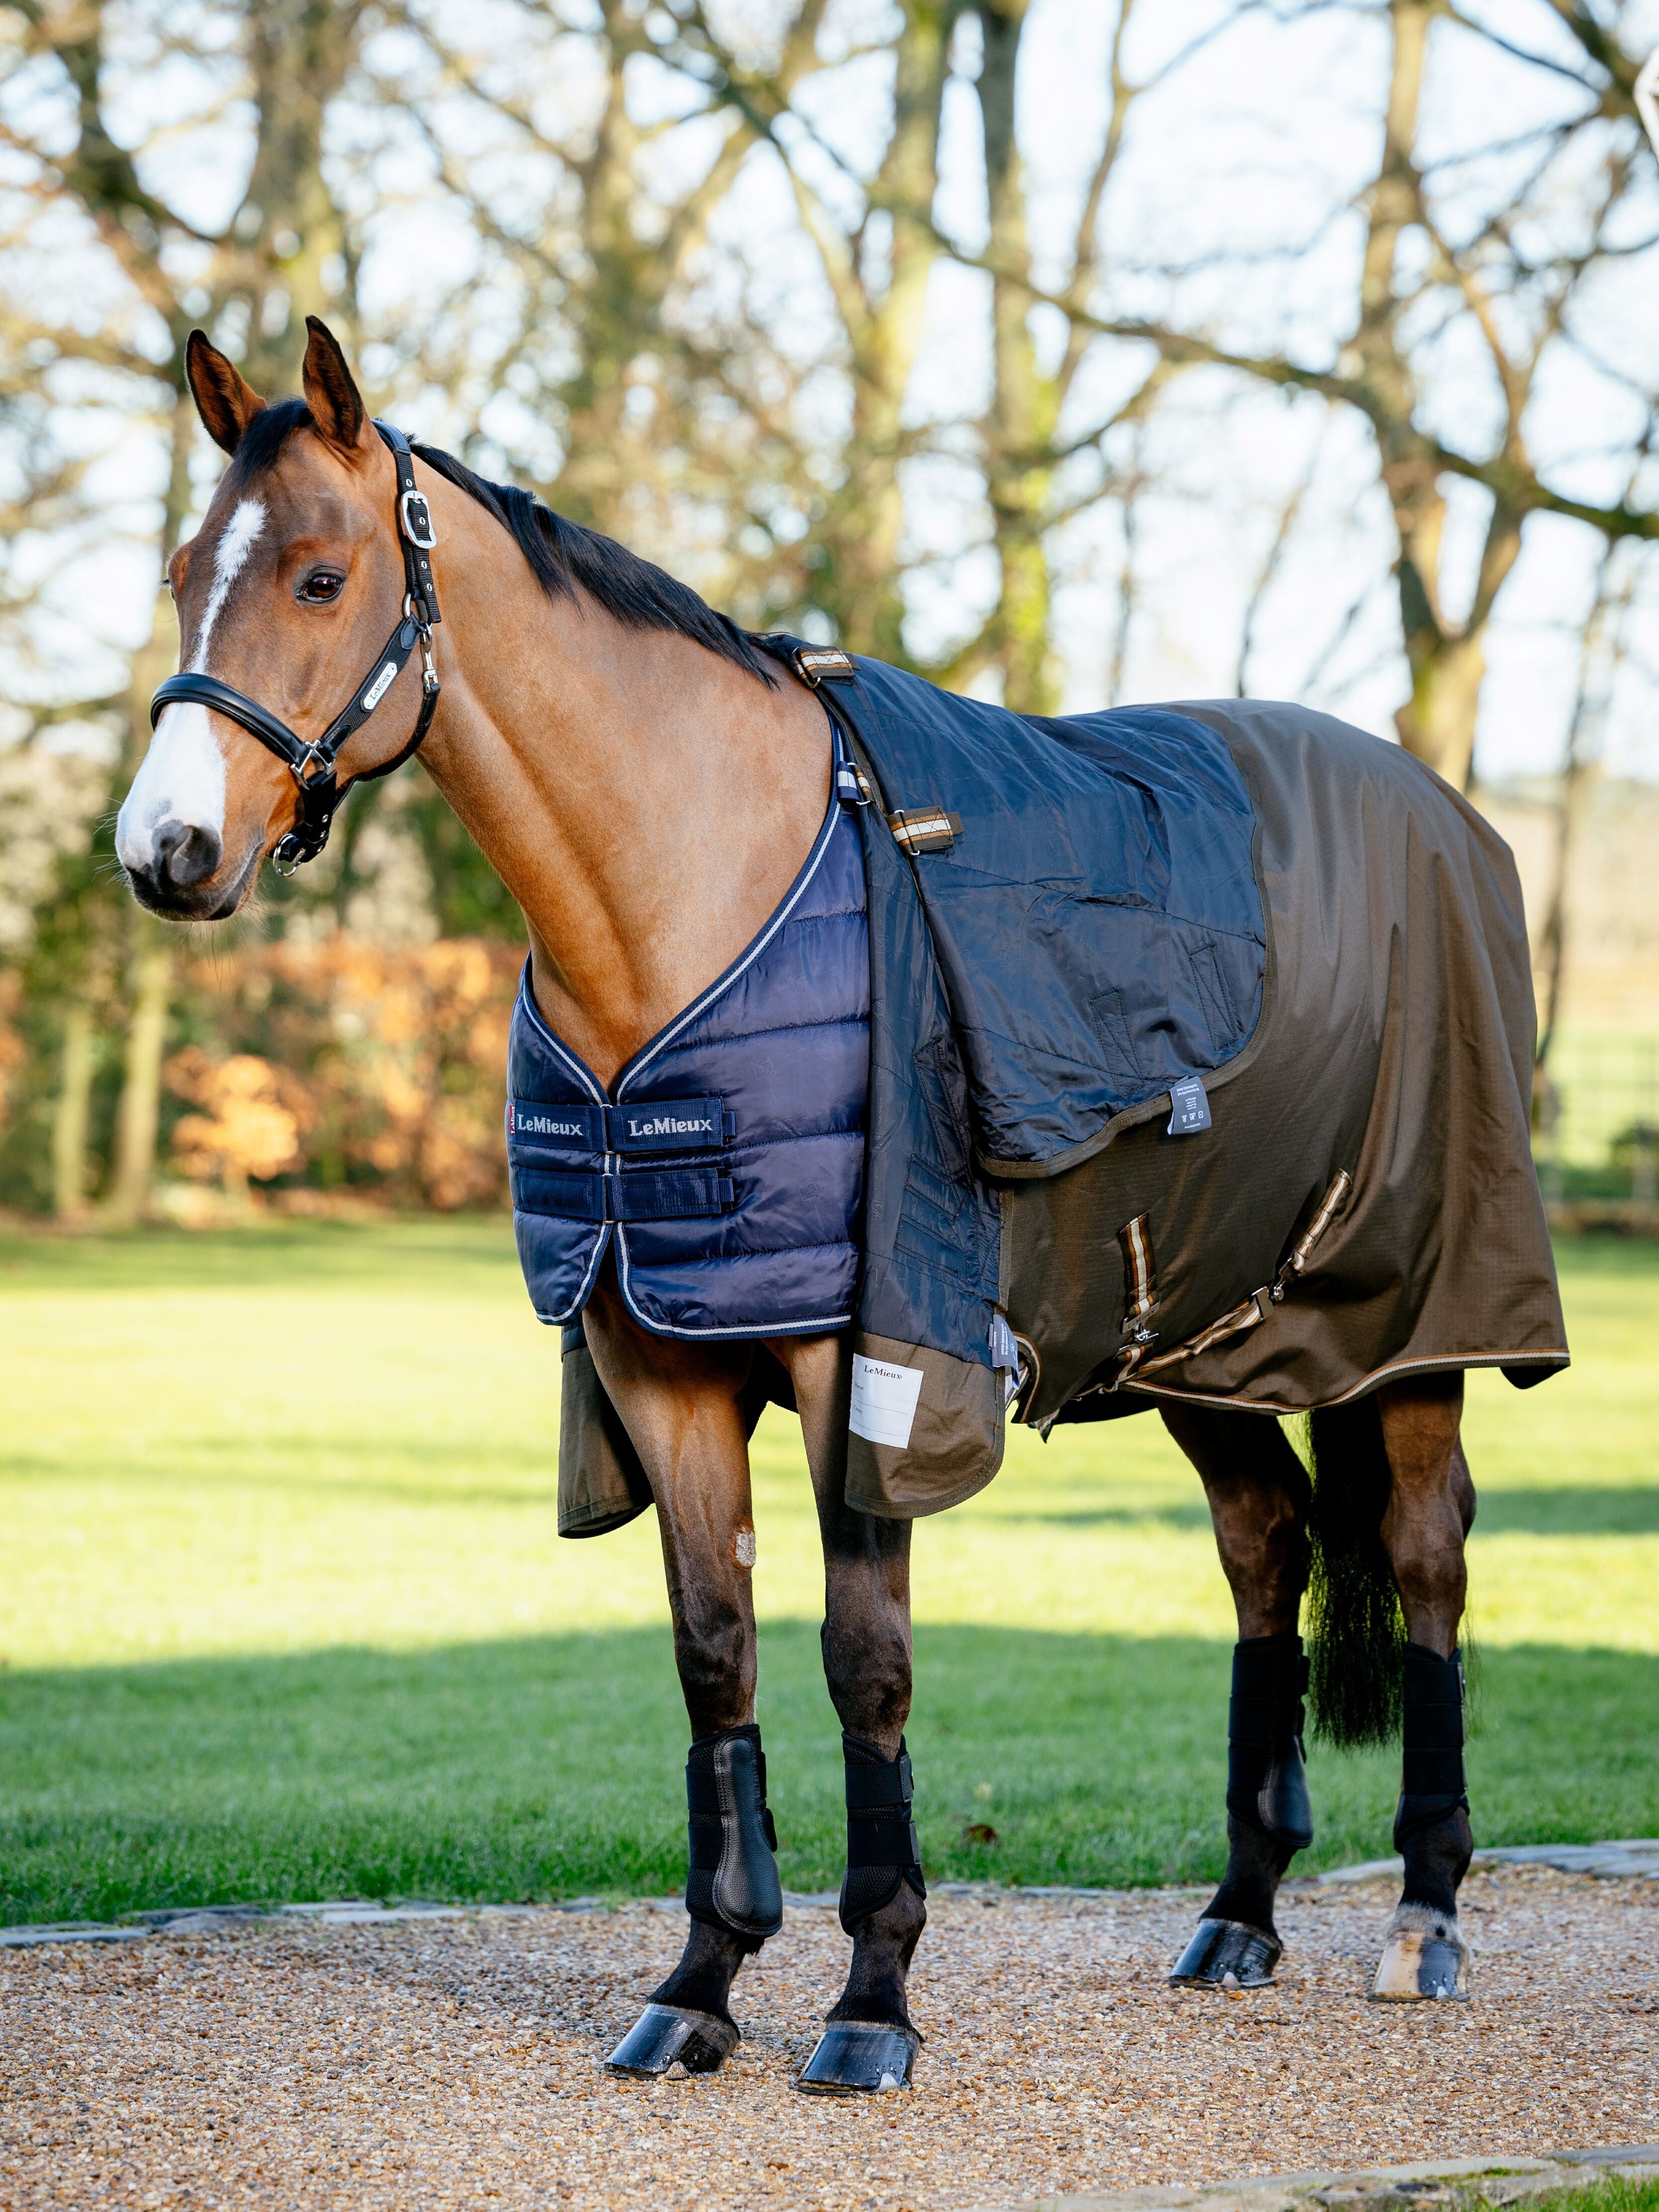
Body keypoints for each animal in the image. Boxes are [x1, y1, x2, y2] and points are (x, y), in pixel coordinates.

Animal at [115, 316, 1558, 2092]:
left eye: (321, 578)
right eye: (182, 570)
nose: (167, 847)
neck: (692, 896)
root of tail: (1445, 813)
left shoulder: (858, 1355)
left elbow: (862, 1664)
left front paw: (871, 1998)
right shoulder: (655, 1352)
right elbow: (713, 1654)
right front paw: (700, 1978)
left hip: (1413, 1328)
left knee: (1424, 1563)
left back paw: (1421, 1910)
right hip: (1192, 1335)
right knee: (1261, 1542)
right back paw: (1237, 1911)